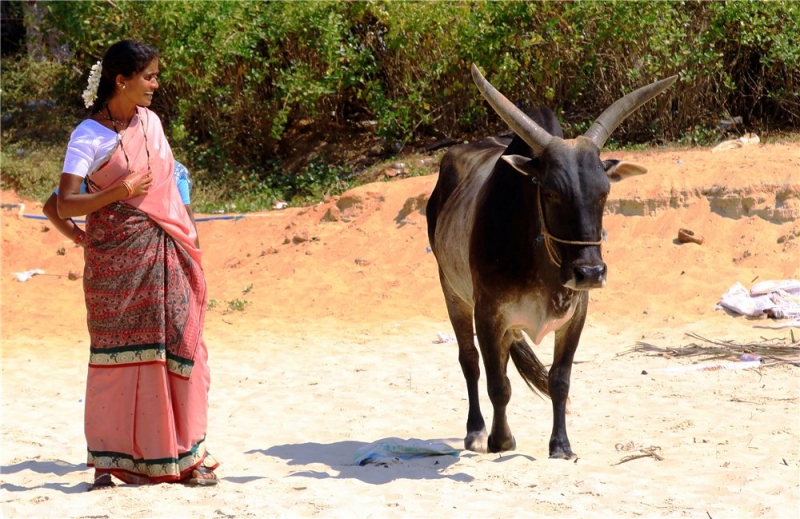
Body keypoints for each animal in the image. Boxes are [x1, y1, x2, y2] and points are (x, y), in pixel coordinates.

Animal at [424, 65, 676, 460]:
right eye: (552, 192)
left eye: (604, 191)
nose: (590, 272)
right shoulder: (488, 312)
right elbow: (498, 384)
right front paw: (501, 440)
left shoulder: (576, 313)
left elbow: (559, 379)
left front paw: (561, 445)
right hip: (452, 291)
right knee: (470, 362)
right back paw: (476, 431)